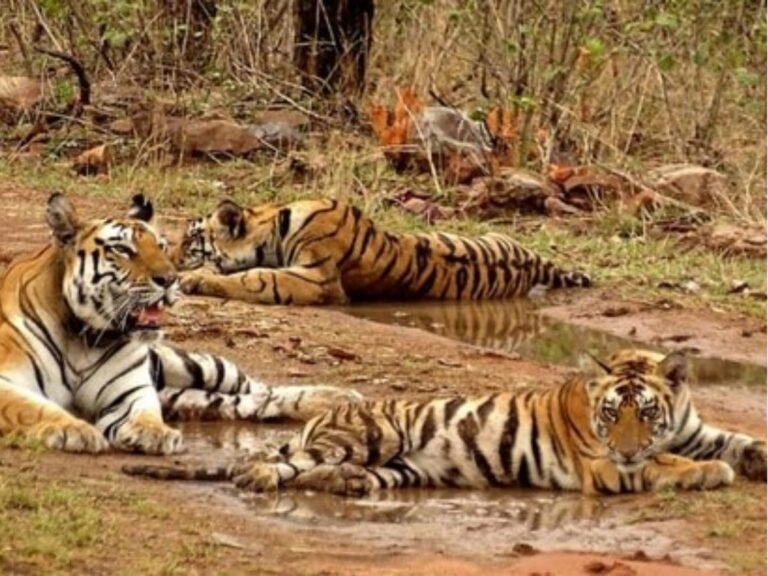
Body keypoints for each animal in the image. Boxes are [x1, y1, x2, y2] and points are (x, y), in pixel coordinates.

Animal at [0, 193, 360, 455]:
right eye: (122, 249)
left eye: (159, 246)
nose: (170, 279)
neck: (85, 337)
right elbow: (34, 407)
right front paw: (73, 429)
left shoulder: (131, 390)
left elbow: (144, 411)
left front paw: (152, 433)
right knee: (242, 402)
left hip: (193, 364)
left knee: (259, 390)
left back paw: (340, 398)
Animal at [172, 198, 591, 305]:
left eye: (191, 241)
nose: (171, 260)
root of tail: (532, 260)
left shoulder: (320, 278)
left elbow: (257, 277)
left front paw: (192, 278)